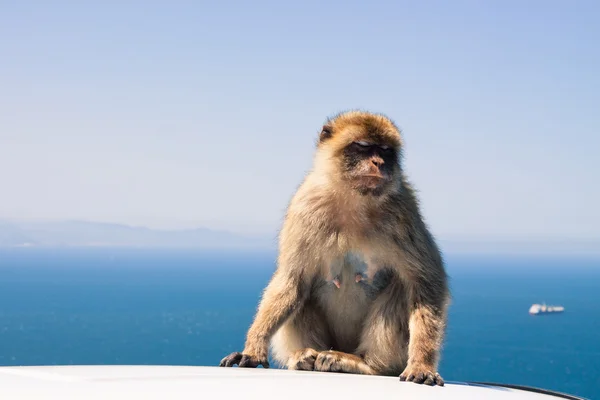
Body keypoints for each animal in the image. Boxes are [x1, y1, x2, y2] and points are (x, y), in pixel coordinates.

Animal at [220, 111, 450, 386]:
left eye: (386, 150)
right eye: (363, 146)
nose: (378, 162)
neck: (354, 199)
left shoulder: (404, 210)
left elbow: (426, 281)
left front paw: (421, 364)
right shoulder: (305, 206)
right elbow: (291, 279)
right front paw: (253, 349)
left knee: (401, 288)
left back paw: (364, 364)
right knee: (300, 291)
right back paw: (304, 356)